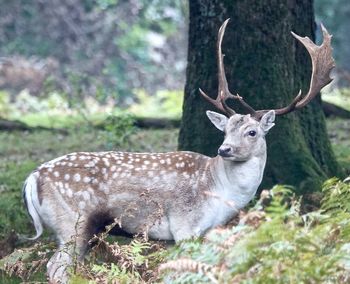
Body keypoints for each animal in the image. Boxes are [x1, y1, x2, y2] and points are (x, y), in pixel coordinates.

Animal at [21, 18, 334, 282]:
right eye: (225, 130)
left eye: (251, 131)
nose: (224, 149)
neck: (219, 190)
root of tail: (33, 177)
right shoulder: (185, 224)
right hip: (74, 222)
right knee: (56, 267)